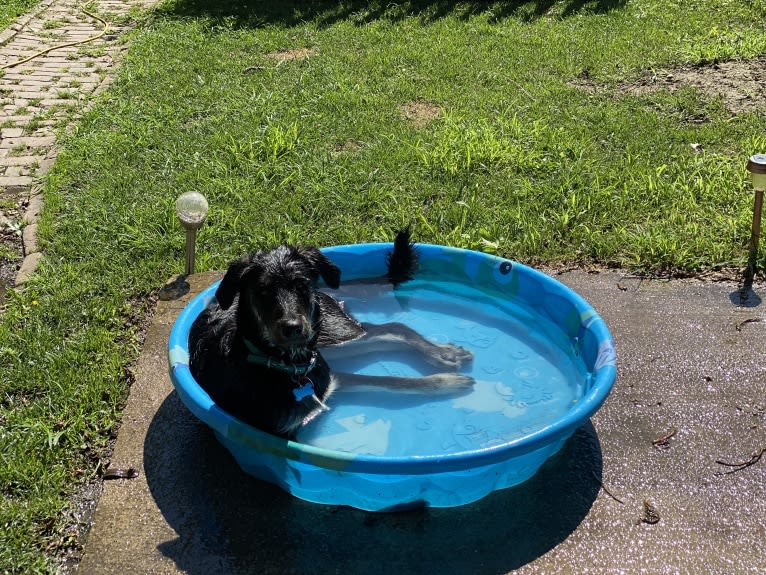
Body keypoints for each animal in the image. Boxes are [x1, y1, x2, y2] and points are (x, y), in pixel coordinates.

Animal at [189, 232, 474, 438]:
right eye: (263, 291)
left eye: (301, 284)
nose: (292, 327)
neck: (289, 369)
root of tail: (327, 292)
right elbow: (390, 381)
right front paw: (448, 382)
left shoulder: (327, 378)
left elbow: (392, 382)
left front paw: (445, 382)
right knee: (390, 330)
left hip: (334, 334)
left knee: (392, 328)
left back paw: (443, 353)